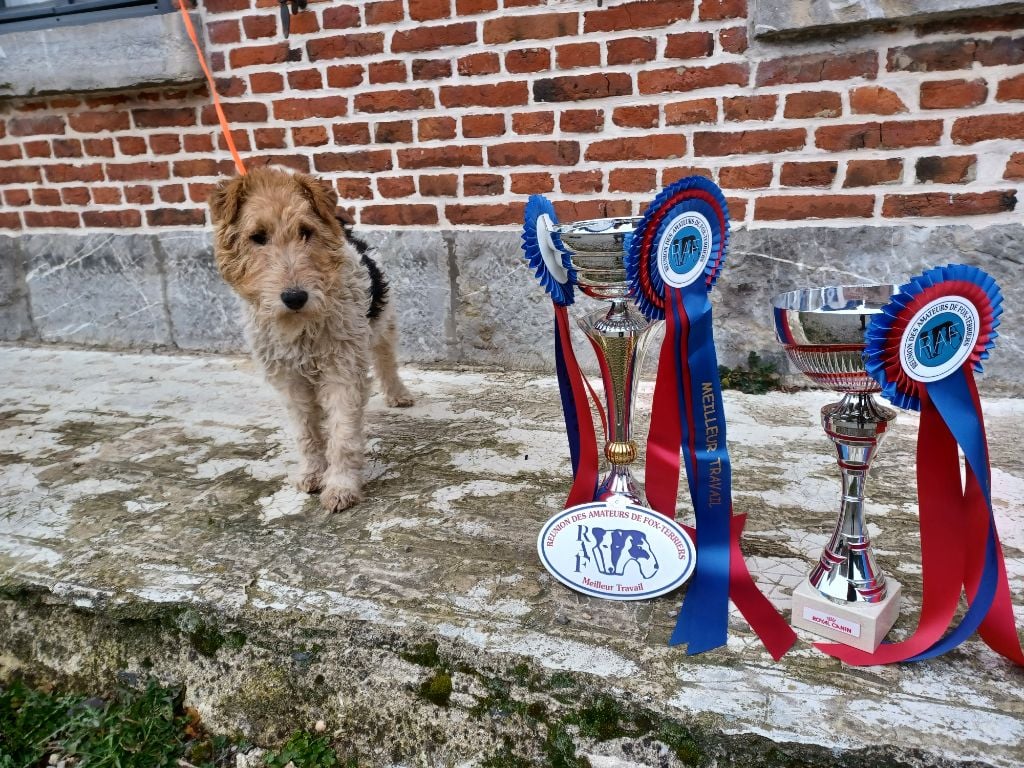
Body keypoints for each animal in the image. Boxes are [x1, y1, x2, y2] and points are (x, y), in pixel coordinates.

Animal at [207, 168, 411, 518]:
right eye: (258, 236)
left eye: (306, 231)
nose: (295, 297)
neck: (301, 326)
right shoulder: (290, 379)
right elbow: (306, 432)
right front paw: (313, 473)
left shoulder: (342, 370)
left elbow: (343, 434)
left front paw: (341, 487)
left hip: (384, 324)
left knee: (387, 362)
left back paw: (398, 395)